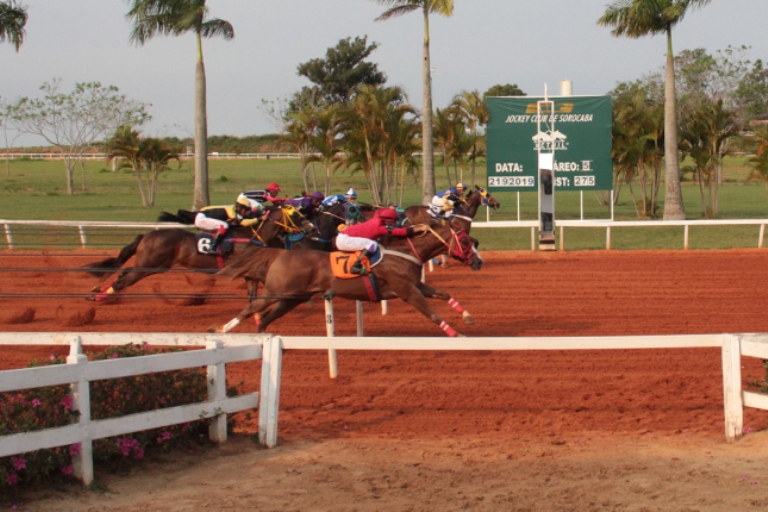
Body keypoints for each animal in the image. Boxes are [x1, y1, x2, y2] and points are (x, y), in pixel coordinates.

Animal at [81, 205, 316, 302]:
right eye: (296, 216)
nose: (312, 228)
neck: (253, 235)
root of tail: (147, 235)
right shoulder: (250, 269)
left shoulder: (250, 274)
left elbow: (253, 295)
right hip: (150, 265)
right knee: (125, 278)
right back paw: (97, 296)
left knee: (123, 273)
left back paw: (97, 292)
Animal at [210, 221, 484, 336]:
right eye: (466, 241)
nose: (479, 262)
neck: (405, 254)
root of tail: (280, 252)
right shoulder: (407, 291)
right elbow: (432, 314)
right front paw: (457, 335)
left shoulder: (415, 284)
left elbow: (444, 294)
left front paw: (467, 315)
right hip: (277, 292)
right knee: (252, 308)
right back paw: (223, 329)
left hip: (291, 298)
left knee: (266, 317)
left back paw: (262, 337)